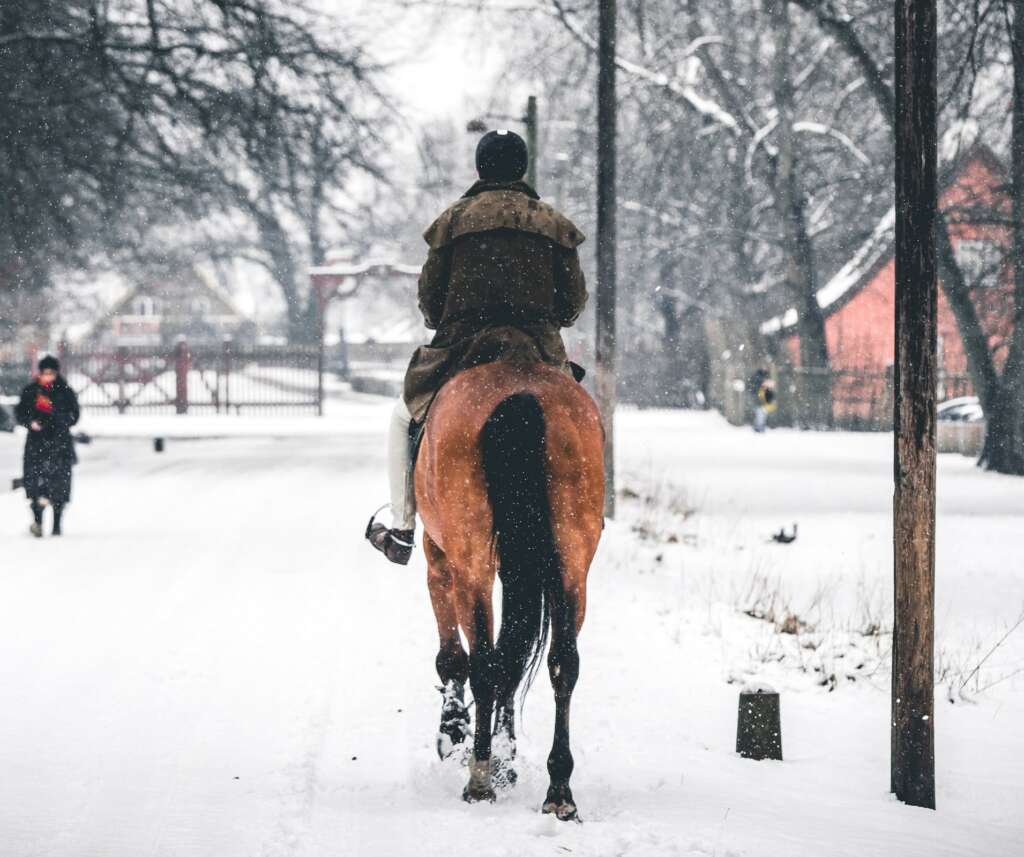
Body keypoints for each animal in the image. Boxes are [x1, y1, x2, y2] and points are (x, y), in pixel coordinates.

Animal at [413, 358, 602, 819]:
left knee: (483, 661)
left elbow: (454, 657)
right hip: (572, 561)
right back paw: (559, 790)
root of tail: (523, 391)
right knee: (562, 663)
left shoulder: (437, 557)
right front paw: (506, 754)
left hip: (471, 560)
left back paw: (479, 778)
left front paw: (454, 731)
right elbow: (515, 653)